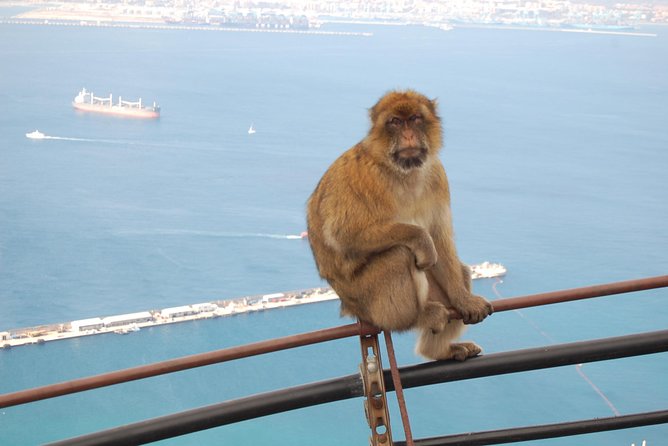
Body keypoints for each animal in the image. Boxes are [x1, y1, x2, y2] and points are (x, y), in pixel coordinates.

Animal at [306, 89, 490, 360]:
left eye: (414, 119)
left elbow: (440, 237)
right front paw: (422, 241)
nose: (408, 135)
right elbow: (343, 234)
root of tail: (348, 306)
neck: (404, 172)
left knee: (460, 269)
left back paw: (438, 350)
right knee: (399, 255)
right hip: (367, 301)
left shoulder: (438, 176)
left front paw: (464, 300)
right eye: (395, 122)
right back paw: (417, 317)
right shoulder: (368, 177)